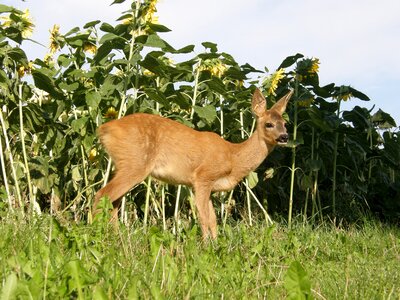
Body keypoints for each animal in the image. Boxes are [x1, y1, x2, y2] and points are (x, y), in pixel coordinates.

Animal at [94, 88, 294, 239]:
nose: (284, 137)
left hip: (124, 165)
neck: (233, 156)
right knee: (102, 195)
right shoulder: (202, 177)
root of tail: (104, 129)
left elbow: (213, 220)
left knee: (113, 202)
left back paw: (115, 237)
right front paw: (206, 248)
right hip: (135, 163)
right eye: (269, 124)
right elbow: (205, 218)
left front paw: (216, 246)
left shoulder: (208, 187)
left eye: (285, 124)